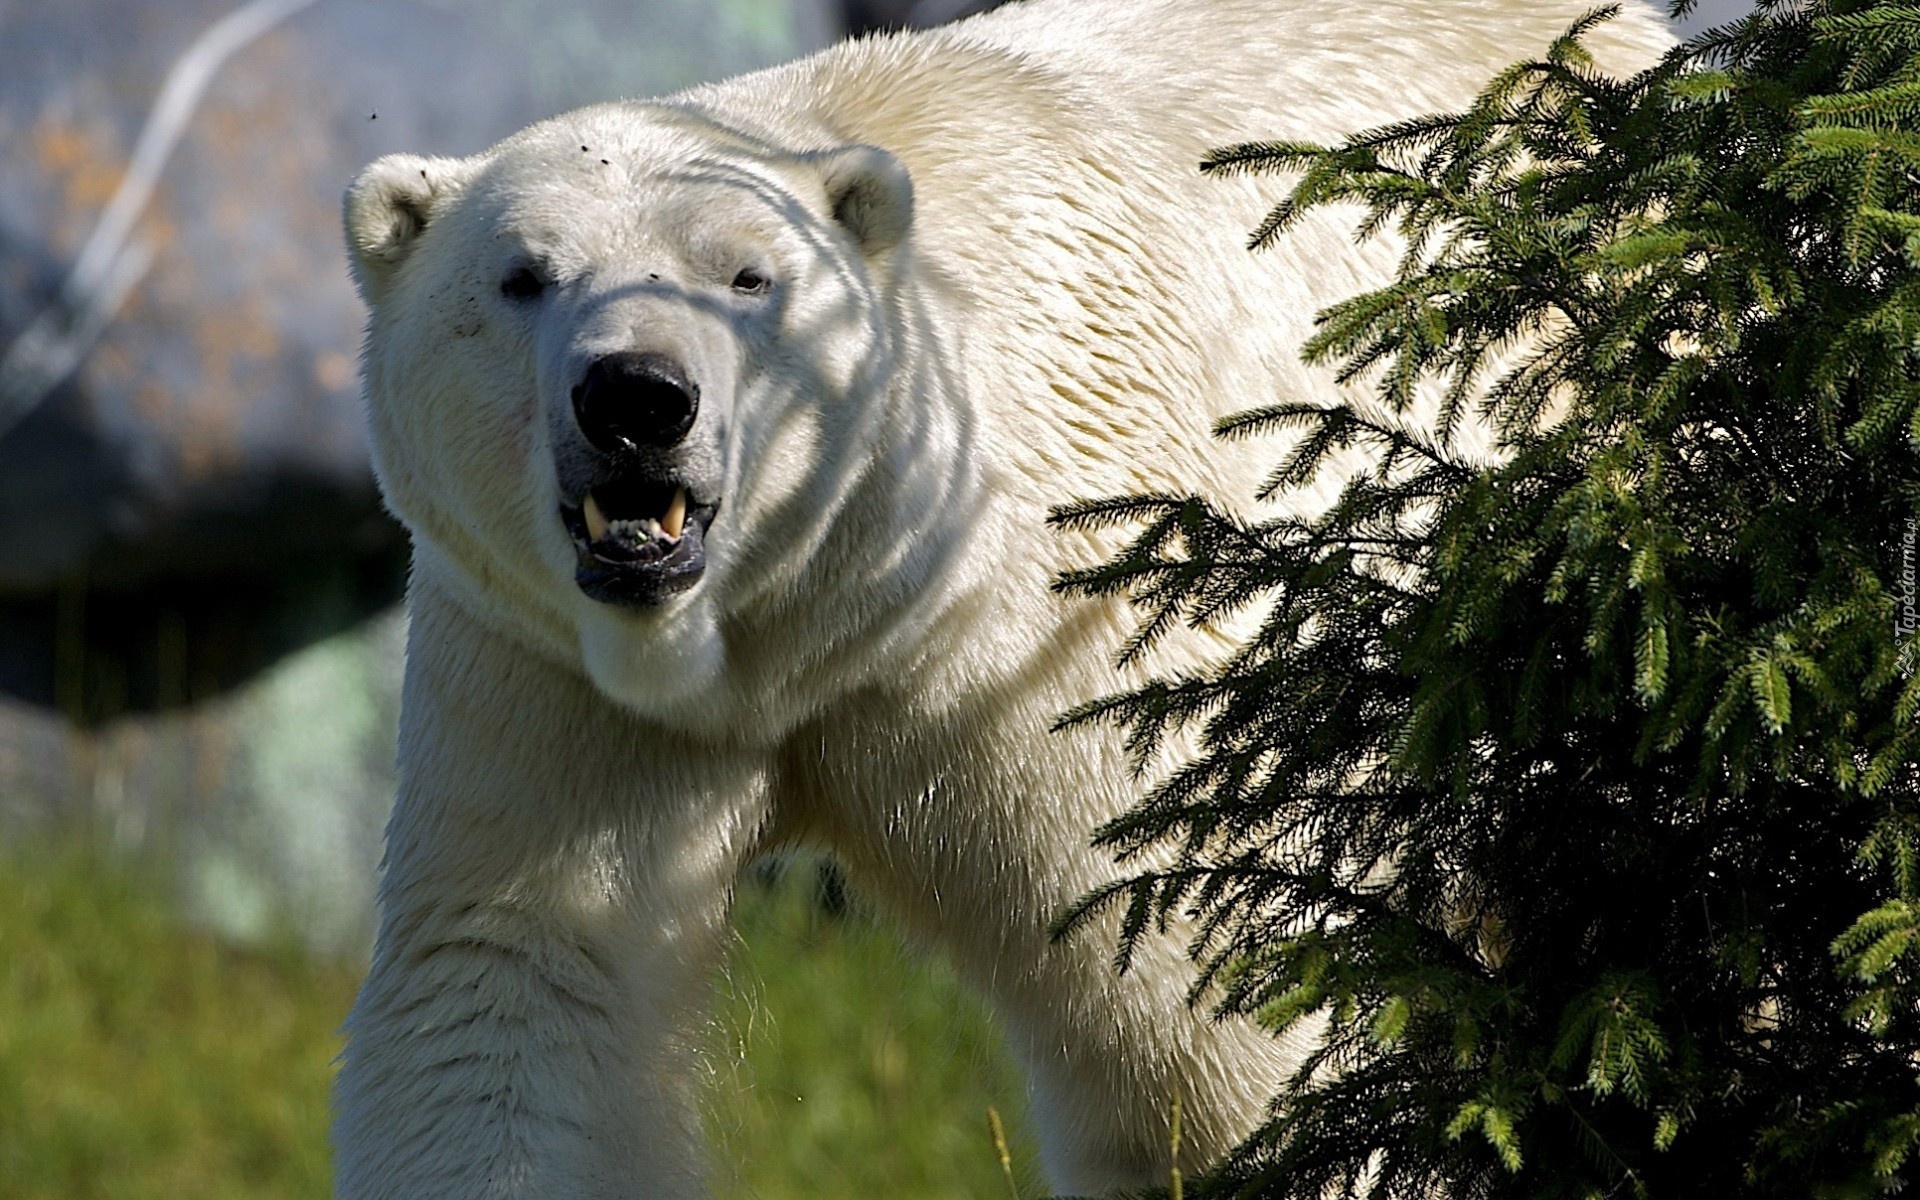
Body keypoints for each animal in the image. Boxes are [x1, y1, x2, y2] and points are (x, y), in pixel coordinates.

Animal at [337, 0, 1674, 1190]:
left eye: (749, 277)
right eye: (522, 278)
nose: (635, 397)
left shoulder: (1051, 627)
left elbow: (1204, 986)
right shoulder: (553, 666)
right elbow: (514, 988)